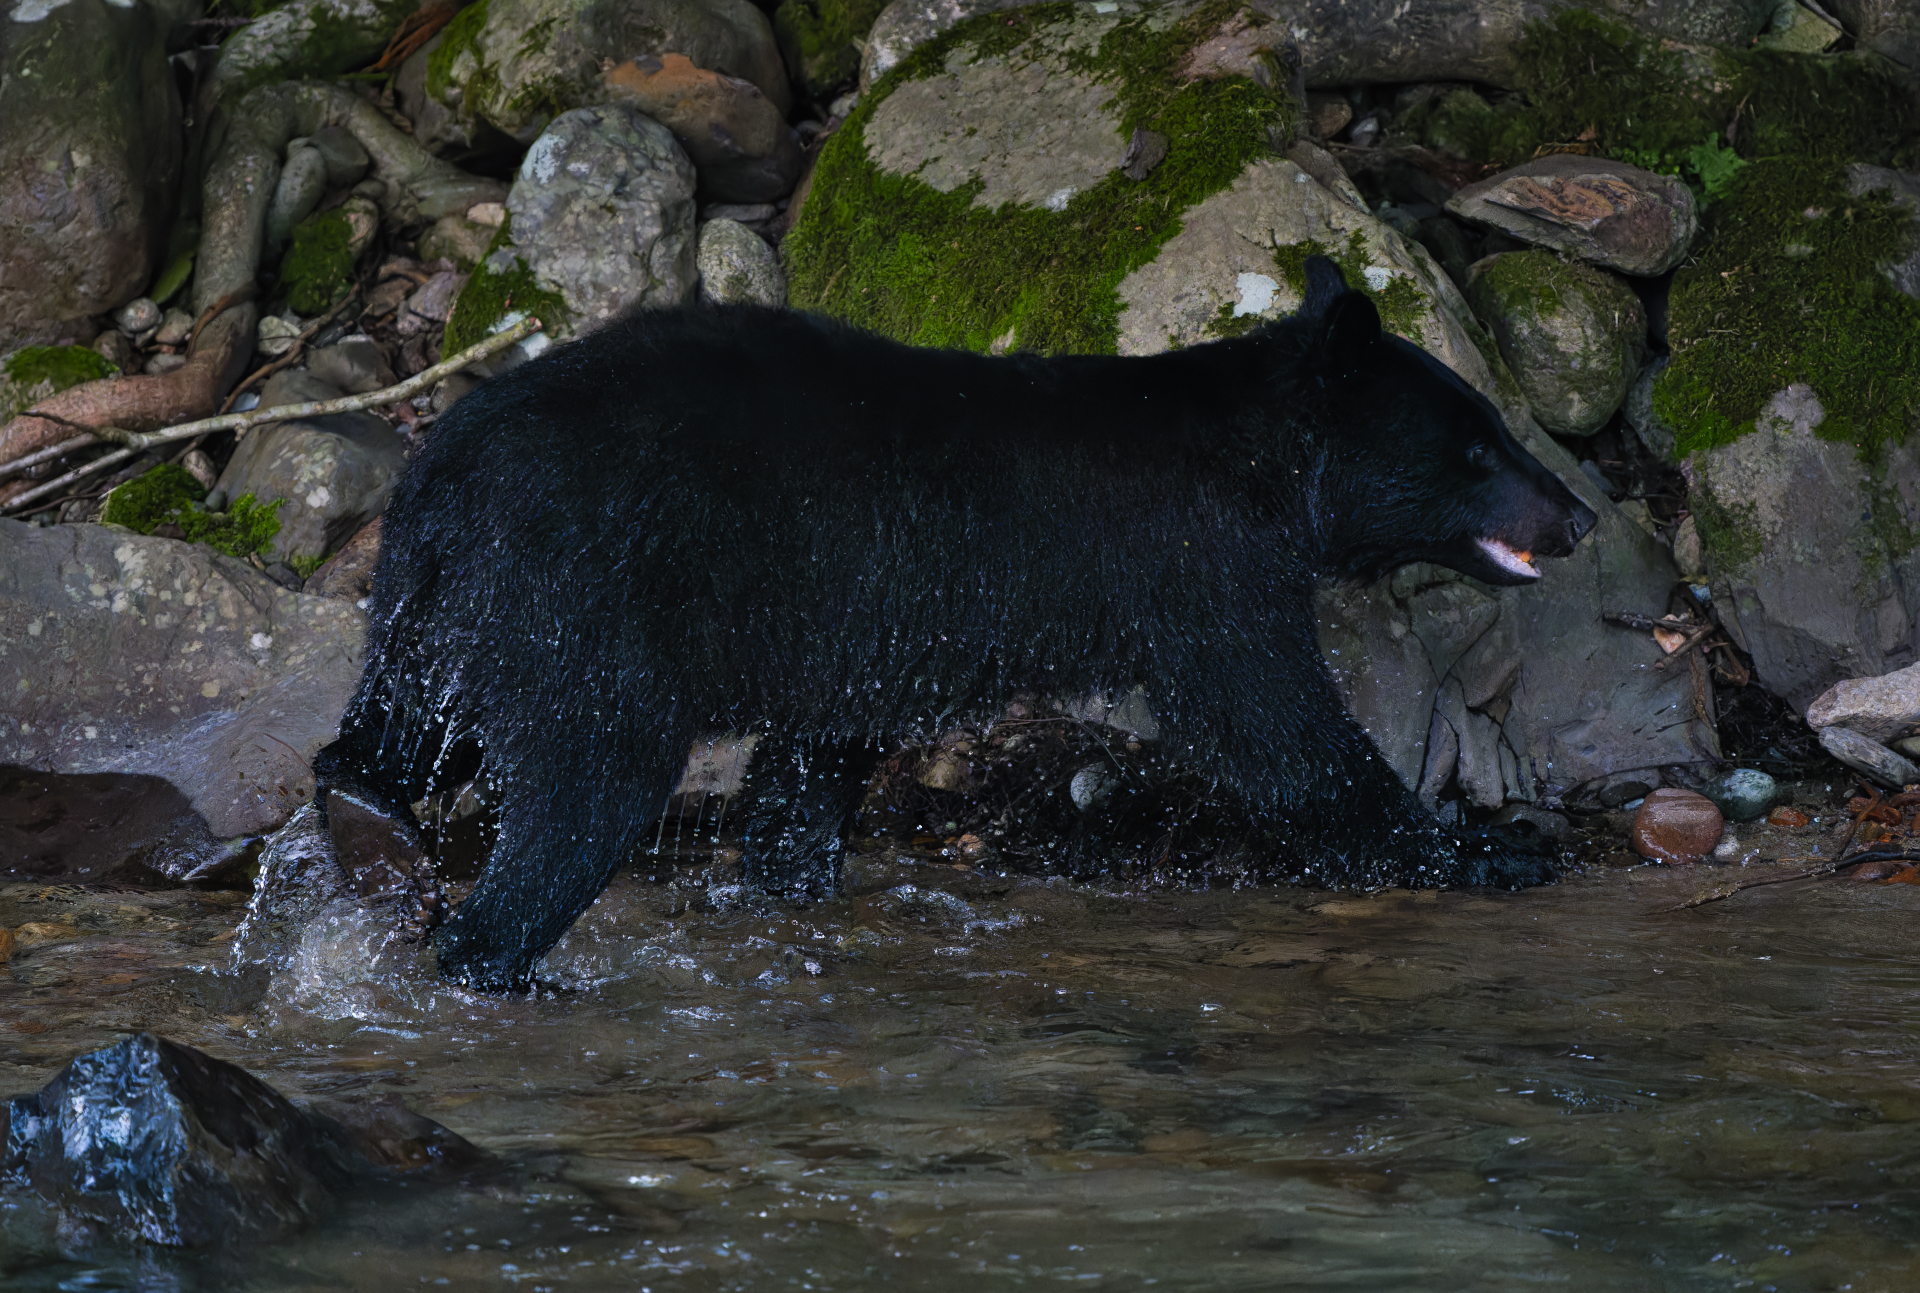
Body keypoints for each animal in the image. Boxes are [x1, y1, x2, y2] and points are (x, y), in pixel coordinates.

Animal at [312, 257, 1598, 991]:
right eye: (1477, 445)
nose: (1581, 513)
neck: (1261, 470)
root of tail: (445, 460)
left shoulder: (858, 637)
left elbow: (810, 769)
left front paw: (792, 880)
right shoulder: (1196, 576)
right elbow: (1278, 734)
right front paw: (1486, 850)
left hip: (435, 613)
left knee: (392, 735)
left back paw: (362, 820)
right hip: (582, 603)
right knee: (590, 778)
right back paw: (506, 962)